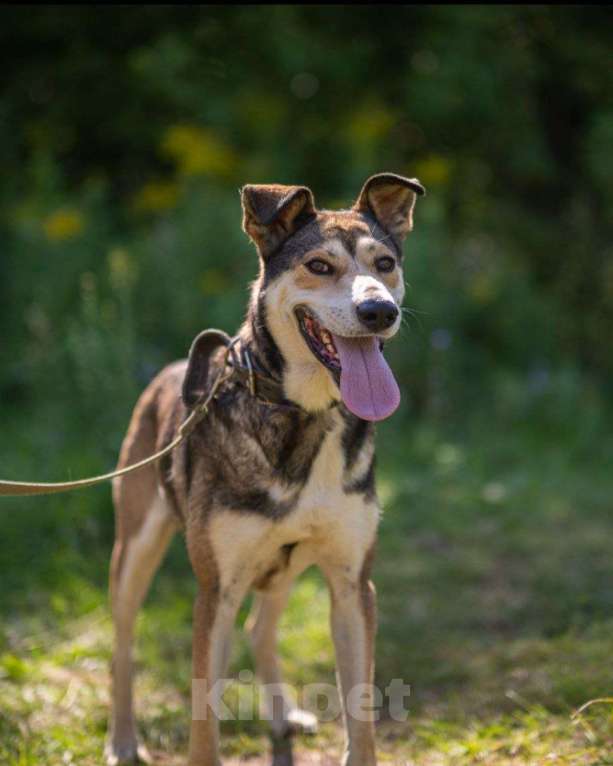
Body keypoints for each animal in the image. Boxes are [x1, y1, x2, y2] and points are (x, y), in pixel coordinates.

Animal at [106, 174, 420, 766]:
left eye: (385, 263)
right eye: (319, 265)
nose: (379, 312)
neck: (306, 413)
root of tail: (172, 369)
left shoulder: (352, 584)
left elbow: (362, 711)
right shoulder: (216, 590)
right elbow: (203, 721)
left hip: (284, 567)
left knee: (259, 627)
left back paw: (281, 716)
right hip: (135, 548)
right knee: (123, 641)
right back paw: (123, 739)